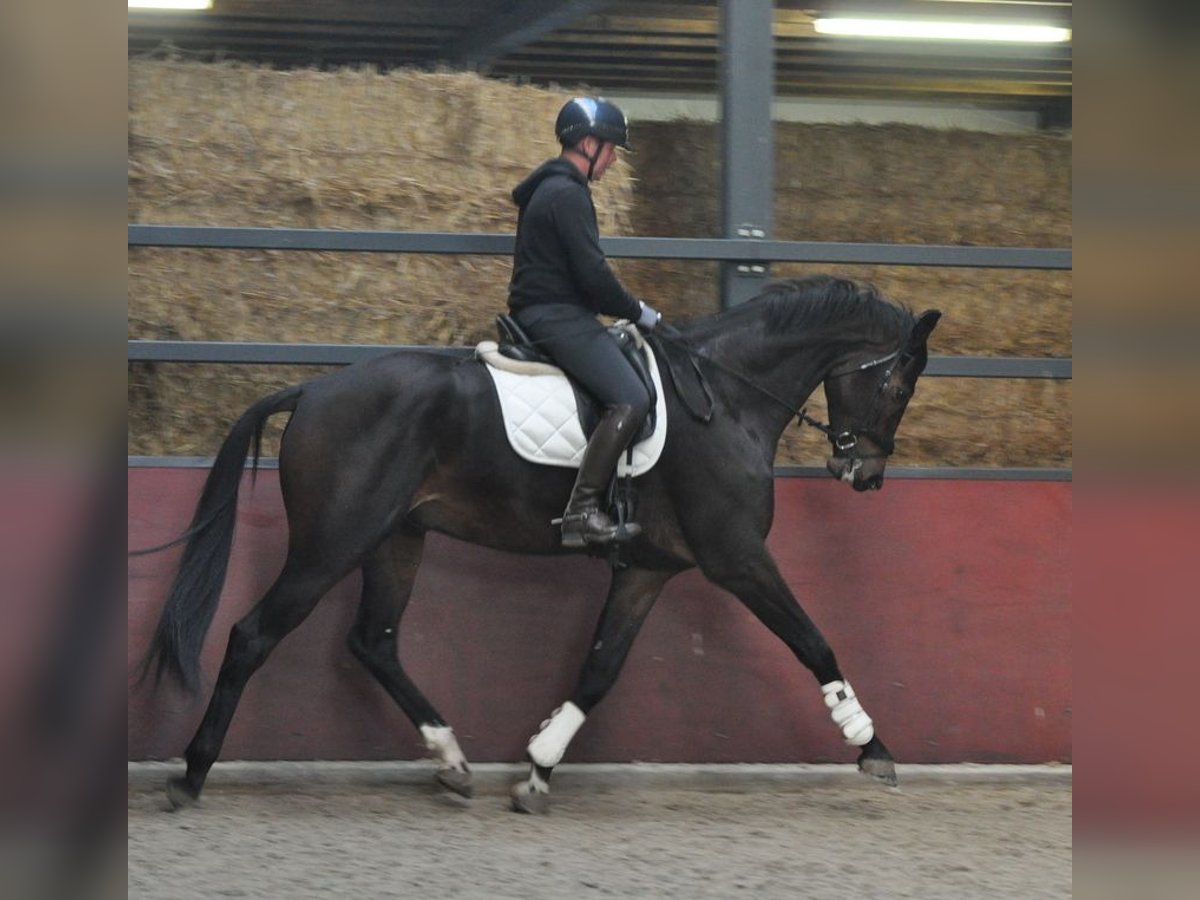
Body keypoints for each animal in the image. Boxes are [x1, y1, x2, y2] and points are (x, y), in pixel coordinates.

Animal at [140, 274, 940, 816]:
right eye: (900, 384)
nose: (865, 475)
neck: (727, 399)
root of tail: (311, 391)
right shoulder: (737, 557)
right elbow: (812, 641)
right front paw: (872, 746)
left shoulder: (649, 569)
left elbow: (600, 668)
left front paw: (538, 768)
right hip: (334, 541)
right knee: (252, 636)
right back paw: (191, 774)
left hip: (395, 538)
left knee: (374, 641)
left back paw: (453, 758)